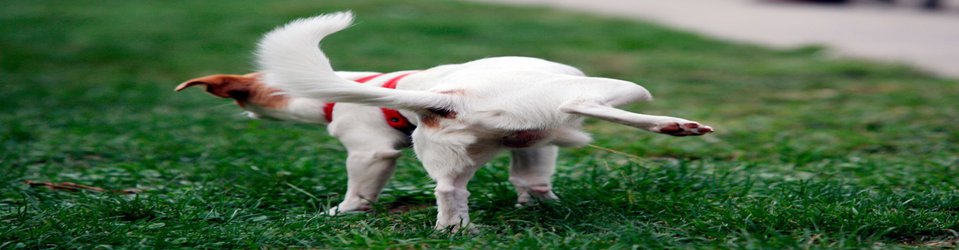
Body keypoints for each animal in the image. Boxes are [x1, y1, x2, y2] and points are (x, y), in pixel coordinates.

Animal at [180, 11, 708, 232]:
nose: (238, 109)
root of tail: (450, 96)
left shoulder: (371, 153)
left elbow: (358, 194)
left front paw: (344, 213)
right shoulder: (532, 144)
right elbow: (533, 181)